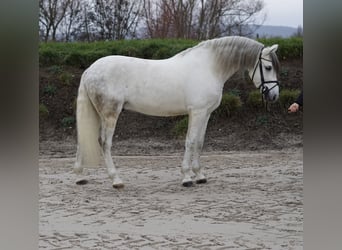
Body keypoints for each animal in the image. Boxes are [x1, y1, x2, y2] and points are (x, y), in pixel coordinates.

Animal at [73, 35, 280, 188]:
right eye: (268, 67)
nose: (274, 95)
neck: (209, 67)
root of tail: (90, 70)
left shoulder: (206, 114)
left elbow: (199, 143)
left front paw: (200, 175)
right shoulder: (196, 112)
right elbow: (190, 141)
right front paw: (187, 177)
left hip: (97, 114)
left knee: (84, 139)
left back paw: (80, 177)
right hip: (110, 114)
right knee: (105, 143)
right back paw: (116, 180)